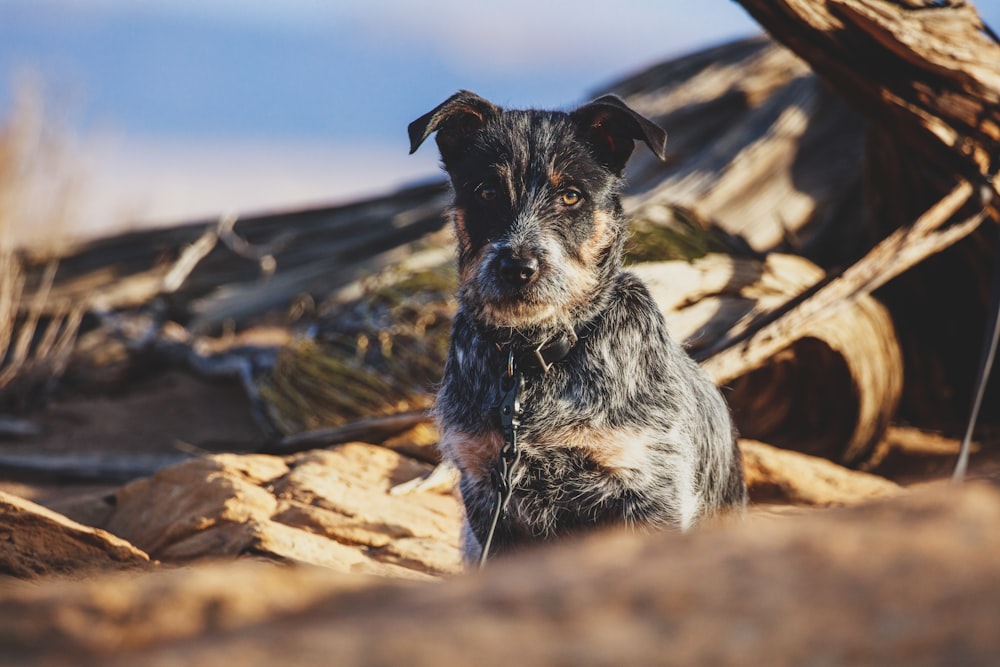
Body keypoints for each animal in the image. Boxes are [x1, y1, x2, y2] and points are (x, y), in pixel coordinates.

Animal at [410, 91, 748, 568]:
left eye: (571, 195)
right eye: (487, 191)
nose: (518, 267)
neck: (532, 360)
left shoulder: (648, 486)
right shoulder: (485, 490)